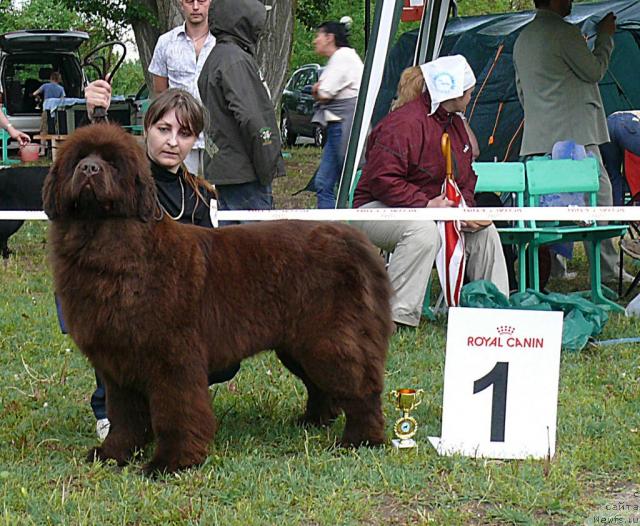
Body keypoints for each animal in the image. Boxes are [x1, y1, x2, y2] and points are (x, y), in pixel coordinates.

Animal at [41, 125, 396, 478]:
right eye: (77, 160)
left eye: (113, 164)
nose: (89, 168)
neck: (107, 249)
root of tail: (354, 241)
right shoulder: (118, 360)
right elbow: (124, 416)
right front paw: (113, 454)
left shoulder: (172, 356)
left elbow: (176, 412)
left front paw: (170, 462)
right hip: (297, 344)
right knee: (322, 386)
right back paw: (312, 421)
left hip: (326, 338)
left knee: (361, 386)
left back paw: (361, 439)